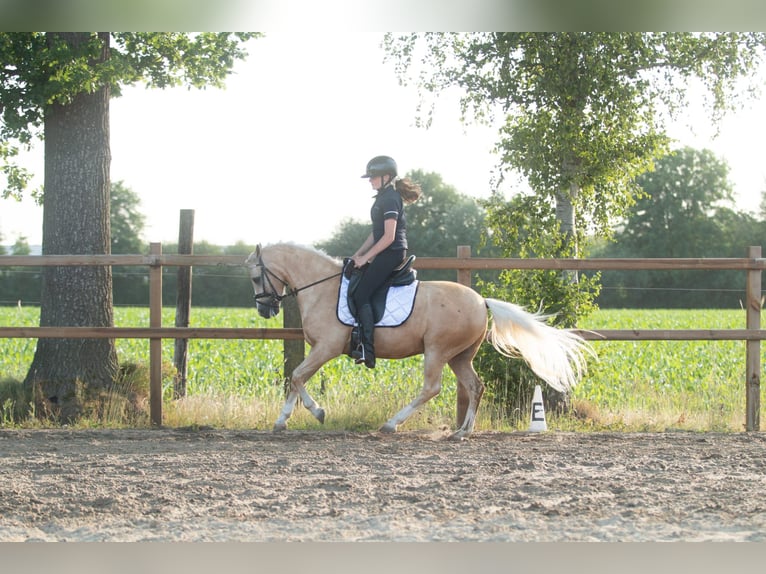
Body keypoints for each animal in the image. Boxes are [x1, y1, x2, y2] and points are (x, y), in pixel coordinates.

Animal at [245, 243, 592, 439]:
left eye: (255, 277)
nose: (264, 309)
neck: (322, 289)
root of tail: (482, 301)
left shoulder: (326, 348)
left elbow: (297, 375)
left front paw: (315, 413)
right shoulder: (320, 349)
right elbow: (297, 378)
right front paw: (282, 421)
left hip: (437, 350)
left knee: (432, 388)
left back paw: (391, 425)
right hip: (459, 356)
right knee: (475, 386)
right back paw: (462, 432)